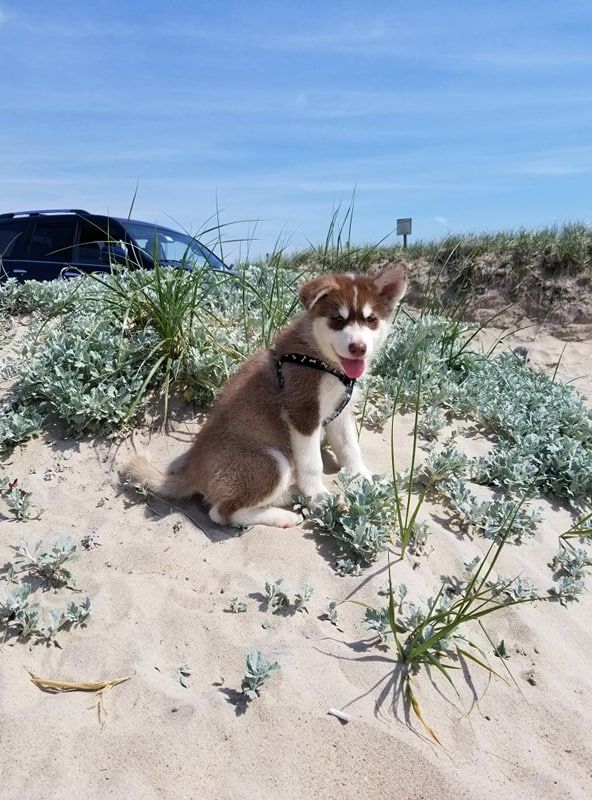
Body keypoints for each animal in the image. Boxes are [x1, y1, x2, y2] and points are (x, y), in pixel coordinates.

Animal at [125, 266, 408, 528]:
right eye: (338, 319)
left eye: (371, 320)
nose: (358, 348)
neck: (320, 359)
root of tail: (193, 470)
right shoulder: (303, 412)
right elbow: (312, 463)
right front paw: (320, 498)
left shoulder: (340, 411)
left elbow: (350, 447)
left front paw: (364, 478)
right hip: (271, 462)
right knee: (222, 512)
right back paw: (284, 515)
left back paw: (293, 495)